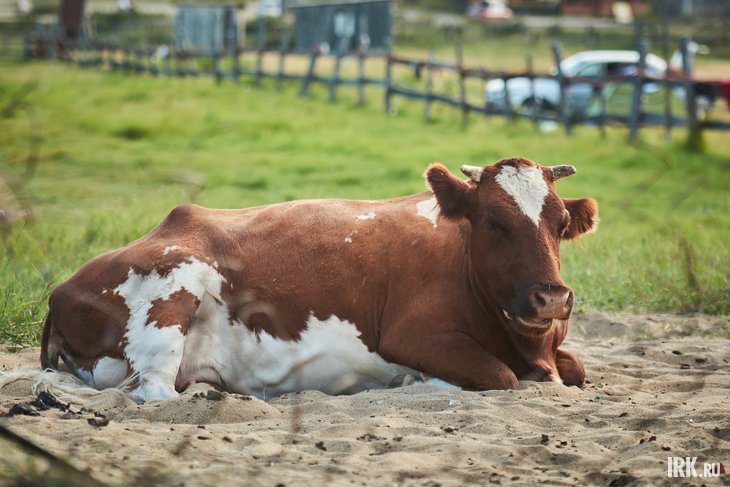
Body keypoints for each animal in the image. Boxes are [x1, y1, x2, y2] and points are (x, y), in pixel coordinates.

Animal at [40, 157, 598, 403]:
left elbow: (576, 370)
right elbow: (502, 378)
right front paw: (418, 379)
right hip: (170, 295)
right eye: (494, 223)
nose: (551, 298)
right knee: (154, 391)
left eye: (560, 225)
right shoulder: (413, 335)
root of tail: (61, 289)